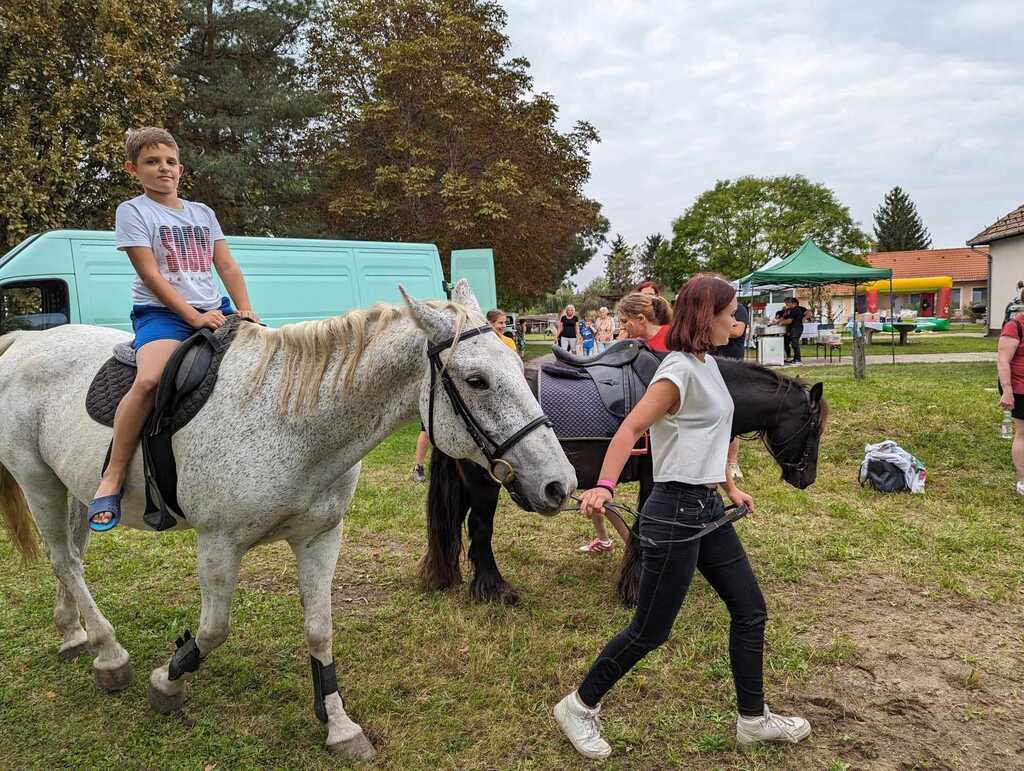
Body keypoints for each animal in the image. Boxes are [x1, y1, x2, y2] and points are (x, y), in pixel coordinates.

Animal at [0, 282, 577, 757]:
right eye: (476, 380)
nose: (559, 484)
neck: (291, 422)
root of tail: (23, 342)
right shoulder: (218, 545)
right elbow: (213, 630)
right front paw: (167, 680)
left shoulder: (320, 538)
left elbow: (320, 631)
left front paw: (338, 726)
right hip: (37, 480)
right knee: (64, 560)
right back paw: (110, 653)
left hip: (74, 486)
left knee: (70, 557)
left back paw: (77, 635)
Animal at [415, 356, 823, 606]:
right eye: (814, 427)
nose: (806, 478)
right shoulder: (655, 480)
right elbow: (645, 530)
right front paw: (637, 589)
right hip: (485, 482)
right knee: (480, 529)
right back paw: (493, 589)